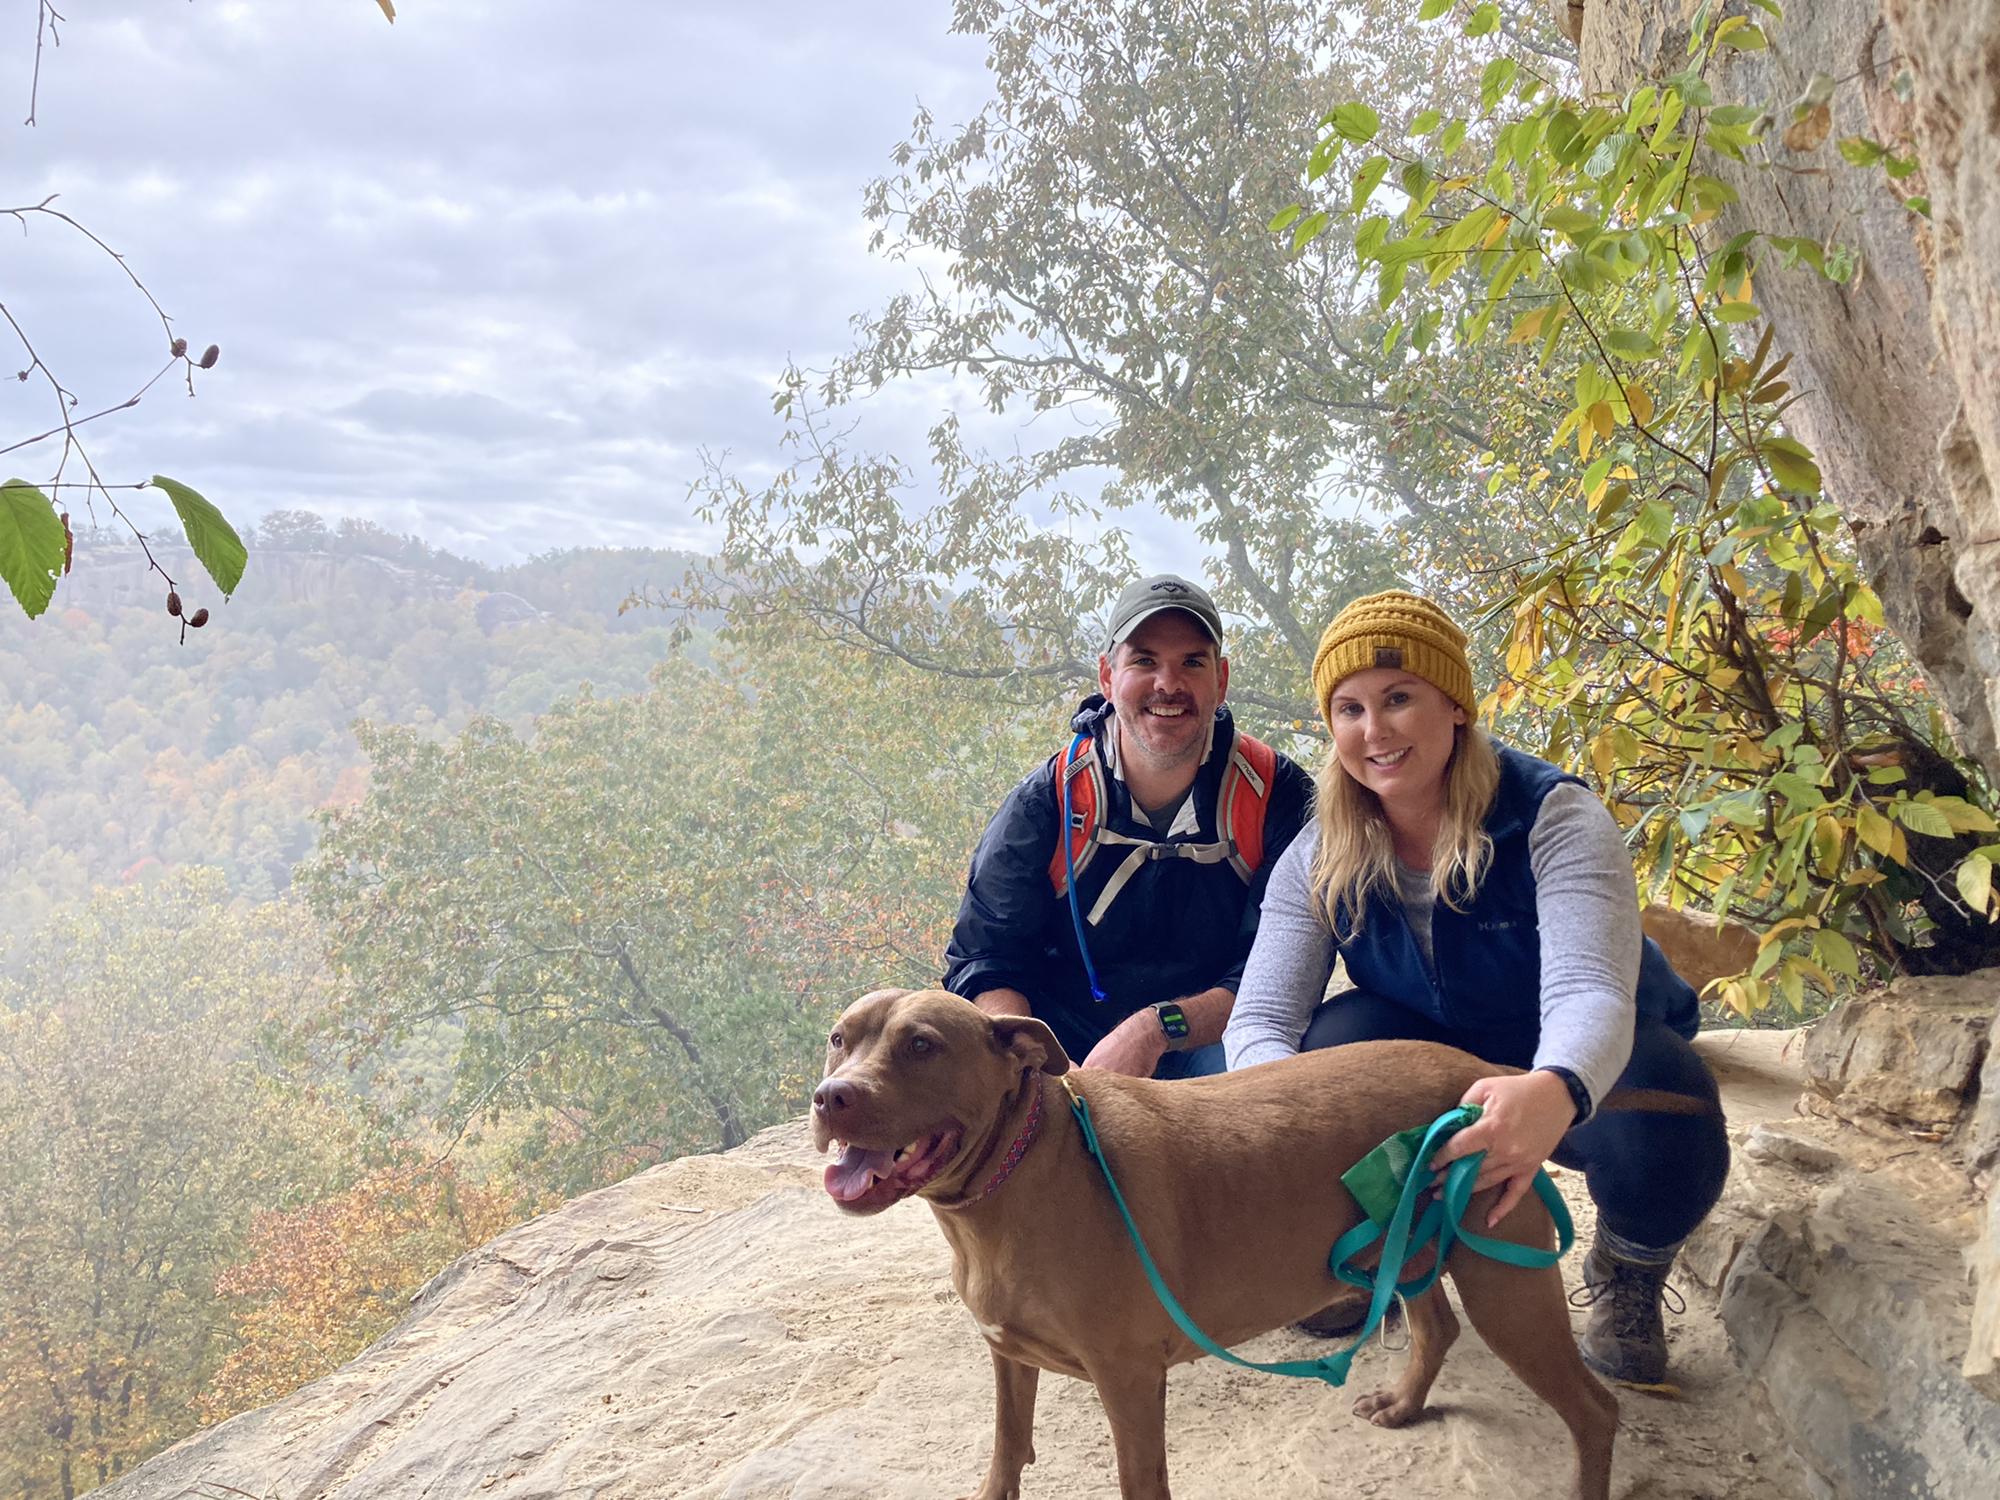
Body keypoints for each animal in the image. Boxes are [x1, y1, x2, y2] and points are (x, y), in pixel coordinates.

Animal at [810, 987, 1620, 1500]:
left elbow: (1139, 1480)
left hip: (1504, 1285)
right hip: (1409, 1248)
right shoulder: (1007, 1355)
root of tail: (1490, 1074)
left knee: (1595, 1411)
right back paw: (1402, 1404)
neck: (1017, 1173)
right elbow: (1008, 1447)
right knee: (1438, 1327)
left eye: (922, 1045)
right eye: (838, 1040)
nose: (829, 1097)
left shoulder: (1129, 1381)